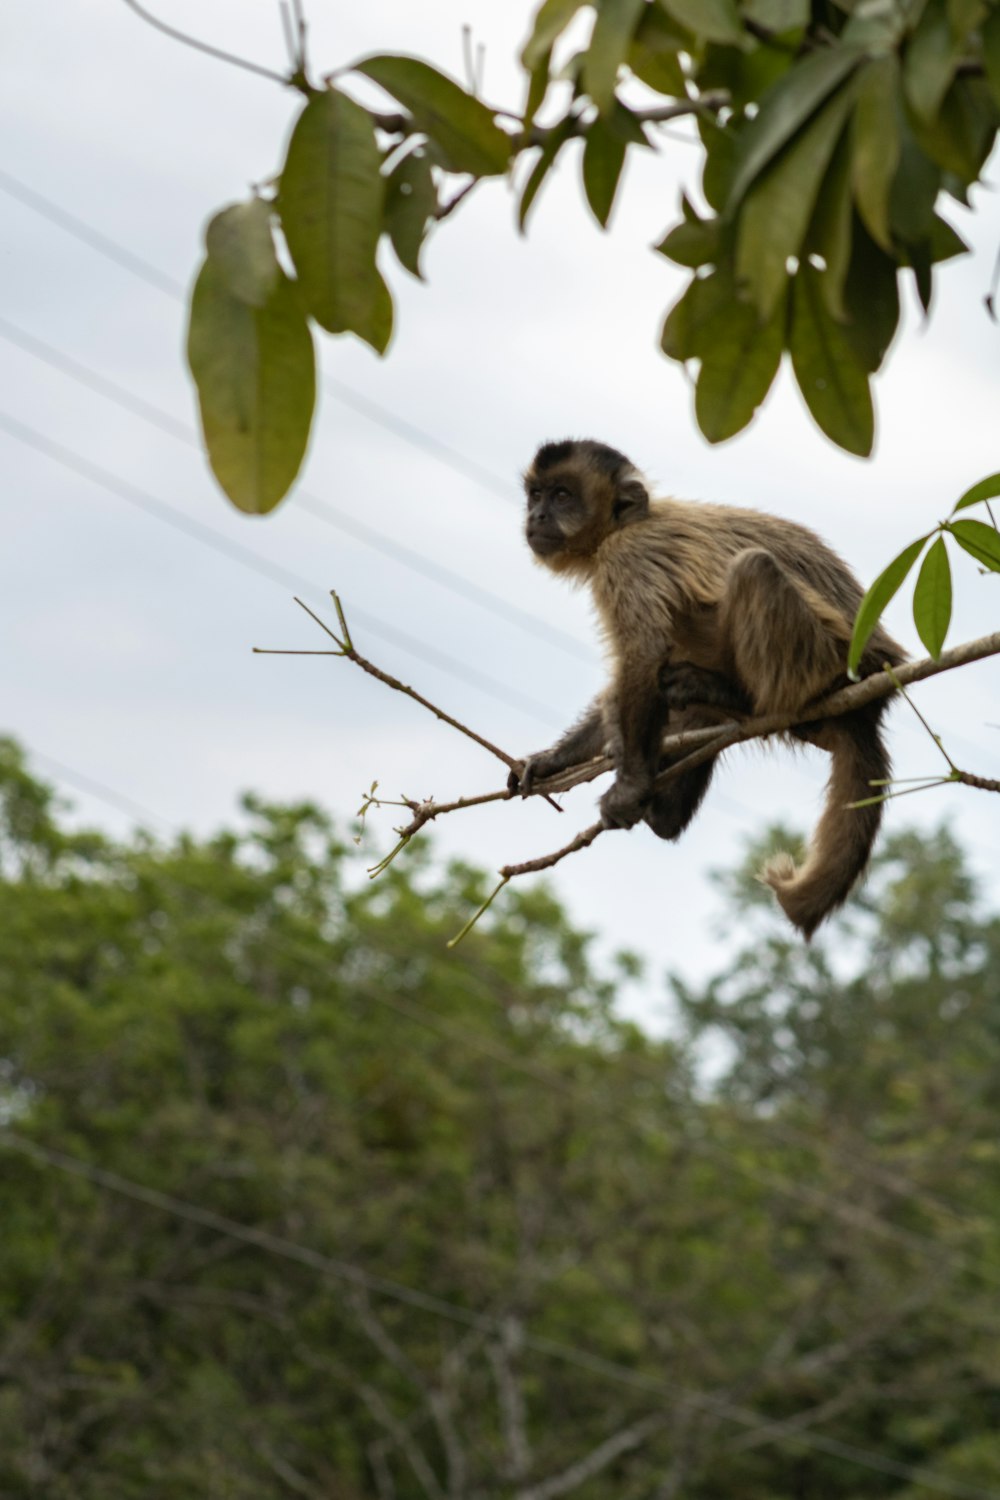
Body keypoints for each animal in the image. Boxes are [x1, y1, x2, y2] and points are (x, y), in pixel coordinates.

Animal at [509, 438, 905, 942]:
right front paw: (552, 761)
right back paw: (666, 810)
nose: (537, 515)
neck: (629, 524)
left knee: (752, 569)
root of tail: (876, 686)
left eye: (562, 496)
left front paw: (629, 787)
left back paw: (739, 702)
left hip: (826, 660)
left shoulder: (628, 558)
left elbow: (643, 657)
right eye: (536, 495)